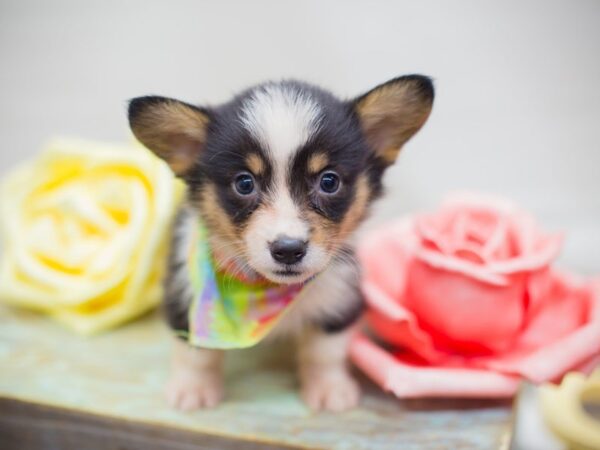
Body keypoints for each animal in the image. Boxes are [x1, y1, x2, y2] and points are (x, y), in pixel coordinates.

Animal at [129, 74, 434, 412]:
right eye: (244, 183)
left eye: (329, 181)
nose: (288, 250)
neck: (267, 290)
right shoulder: (184, 295)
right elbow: (196, 354)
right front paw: (192, 389)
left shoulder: (339, 298)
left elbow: (324, 352)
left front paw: (329, 390)